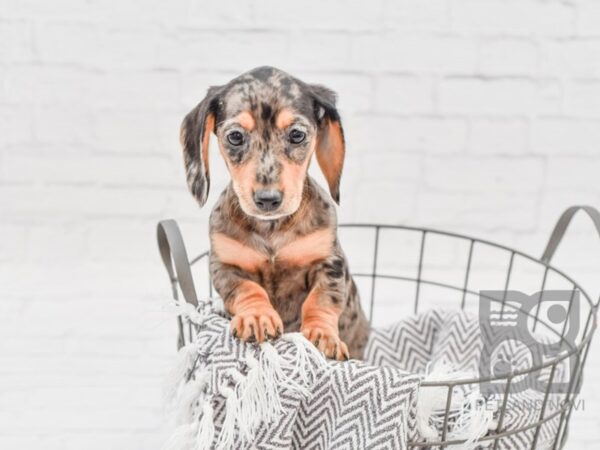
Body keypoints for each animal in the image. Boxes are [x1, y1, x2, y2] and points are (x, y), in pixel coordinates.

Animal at [180, 66, 370, 358]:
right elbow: (247, 288)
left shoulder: (329, 263)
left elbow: (322, 300)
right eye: (235, 137)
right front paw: (257, 316)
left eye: (297, 134)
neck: (272, 229)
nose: (268, 200)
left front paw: (323, 336)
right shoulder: (225, 265)